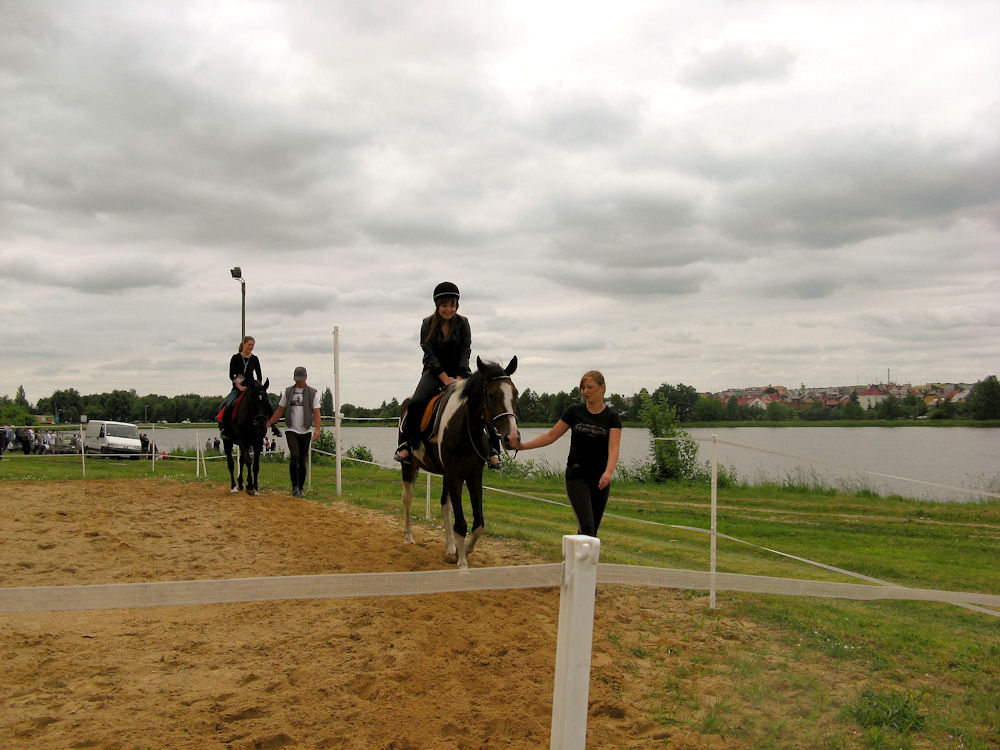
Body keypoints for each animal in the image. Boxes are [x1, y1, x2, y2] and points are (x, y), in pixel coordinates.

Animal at [400, 356, 520, 568]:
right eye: (491, 394)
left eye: (515, 393)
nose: (512, 437)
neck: (464, 427)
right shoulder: (455, 475)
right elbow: (461, 523)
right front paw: (462, 562)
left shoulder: (474, 475)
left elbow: (479, 523)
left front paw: (462, 551)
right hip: (408, 466)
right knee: (408, 498)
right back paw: (408, 536)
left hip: (445, 475)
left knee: (445, 506)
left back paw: (449, 548)